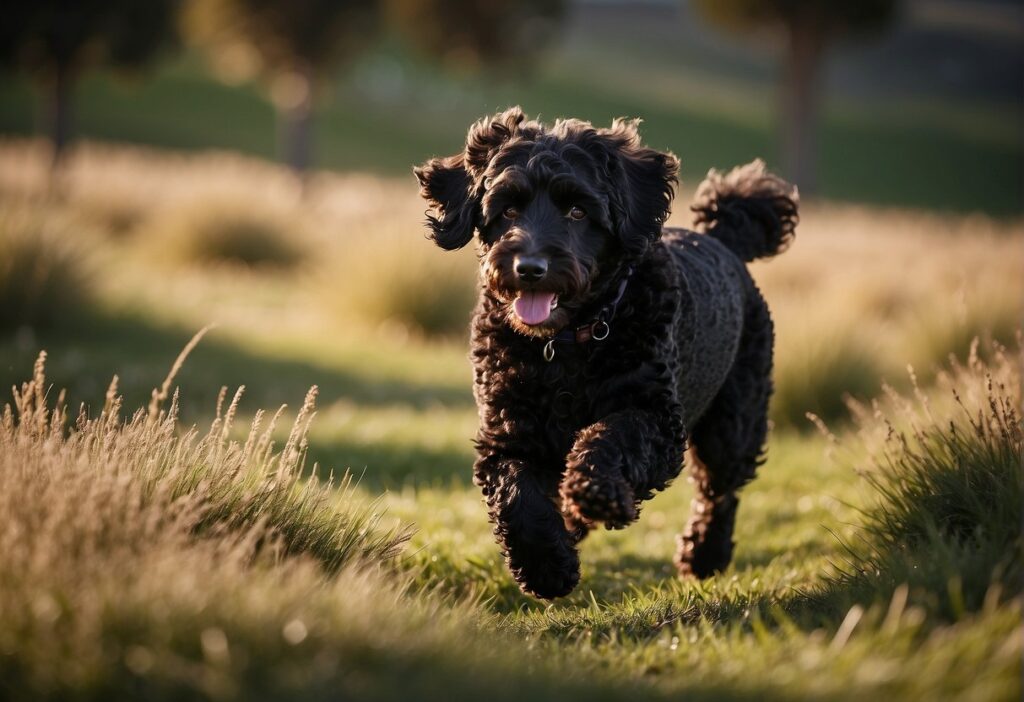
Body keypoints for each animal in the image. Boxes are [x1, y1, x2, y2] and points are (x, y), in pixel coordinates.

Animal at [411, 107, 794, 601]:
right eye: (508, 209)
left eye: (577, 211)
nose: (530, 268)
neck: (563, 347)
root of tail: (724, 239)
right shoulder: (507, 431)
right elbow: (517, 495)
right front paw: (546, 566)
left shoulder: (656, 418)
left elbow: (607, 437)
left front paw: (596, 492)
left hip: (733, 422)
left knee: (720, 491)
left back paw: (704, 554)